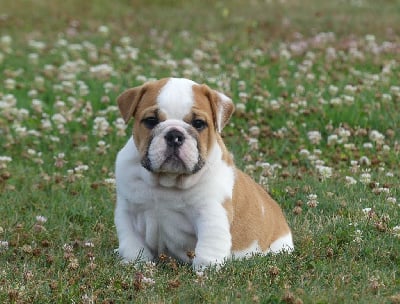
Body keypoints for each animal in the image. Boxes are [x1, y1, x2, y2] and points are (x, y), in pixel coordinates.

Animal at [114, 77, 292, 268]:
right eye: (151, 120)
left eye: (198, 123)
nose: (174, 135)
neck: (168, 180)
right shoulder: (128, 211)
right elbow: (133, 243)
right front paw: (135, 263)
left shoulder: (211, 213)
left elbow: (209, 246)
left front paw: (205, 270)